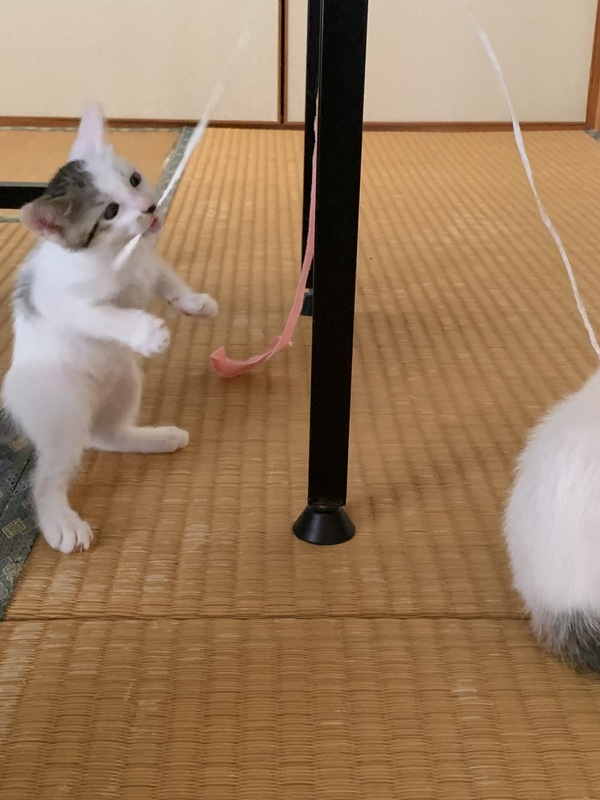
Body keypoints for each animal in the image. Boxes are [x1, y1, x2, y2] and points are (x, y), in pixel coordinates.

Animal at [2, 103, 218, 554]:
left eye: (133, 179)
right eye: (111, 212)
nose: (148, 207)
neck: (120, 256)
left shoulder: (149, 266)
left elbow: (167, 281)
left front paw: (196, 304)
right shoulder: (65, 302)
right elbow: (107, 316)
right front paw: (148, 333)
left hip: (123, 383)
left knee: (104, 434)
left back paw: (156, 438)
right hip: (62, 413)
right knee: (48, 476)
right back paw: (60, 522)